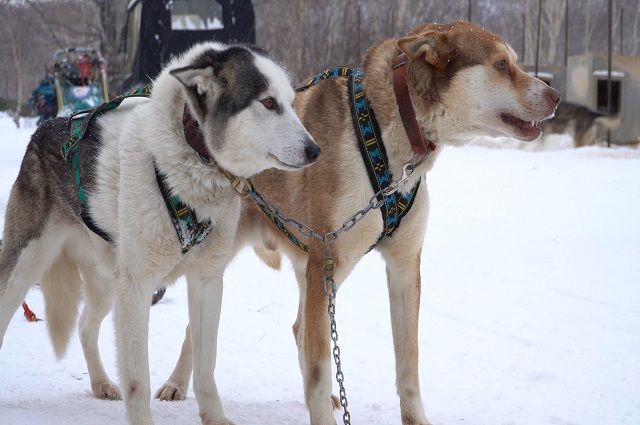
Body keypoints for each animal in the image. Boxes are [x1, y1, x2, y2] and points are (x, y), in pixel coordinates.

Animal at [0, 44, 318, 424]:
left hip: (109, 283)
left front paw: (214, 417)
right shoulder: (138, 287)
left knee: (85, 328)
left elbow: (206, 364)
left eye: (291, 102)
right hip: (26, 268)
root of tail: (44, 128)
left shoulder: (207, 280)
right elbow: (138, 377)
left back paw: (101, 383)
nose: (315, 150)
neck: (192, 161)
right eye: (268, 102)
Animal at [160, 21, 560, 422]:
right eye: (501, 64)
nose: (555, 96)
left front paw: (415, 418)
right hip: (236, 259)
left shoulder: (403, 265)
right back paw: (176, 383)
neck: (383, 134)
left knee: (298, 328)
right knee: (198, 330)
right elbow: (321, 368)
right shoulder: (326, 260)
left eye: (514, 62)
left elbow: (407, 360)